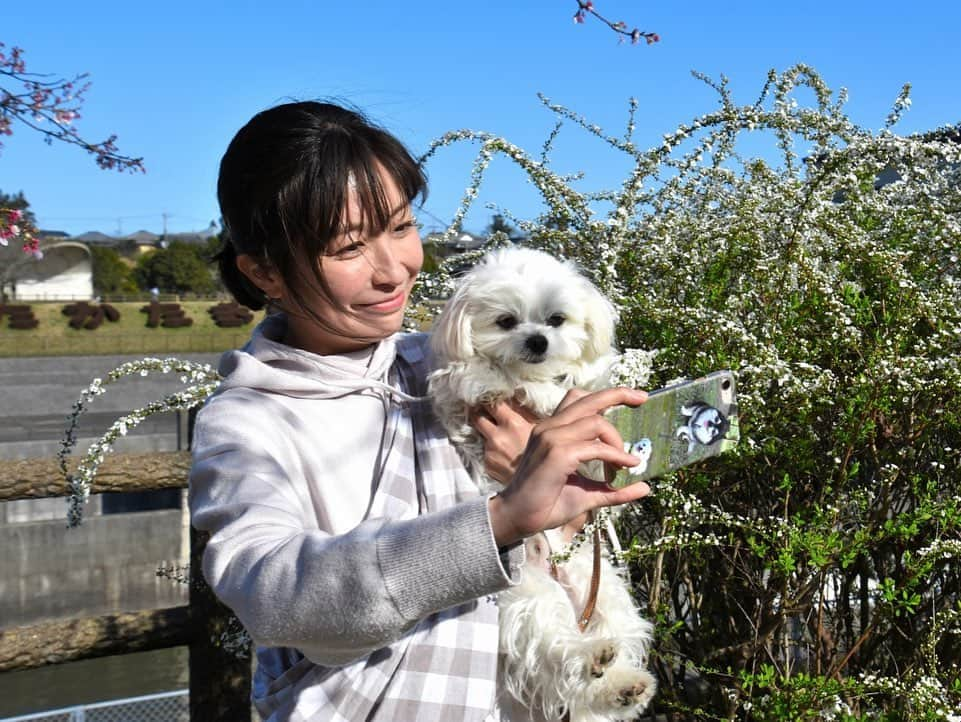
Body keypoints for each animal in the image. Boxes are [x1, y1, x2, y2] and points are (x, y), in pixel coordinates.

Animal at [432, 248, 656, 720]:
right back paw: (590, 658)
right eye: (506, 321)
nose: (537, 341)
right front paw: (500, 381)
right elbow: (476, 373)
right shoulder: (457, 403)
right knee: (554, 645)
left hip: (602, 587)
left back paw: (622, 684)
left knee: (599, 655)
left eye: (556, 319)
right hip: (526, 592)